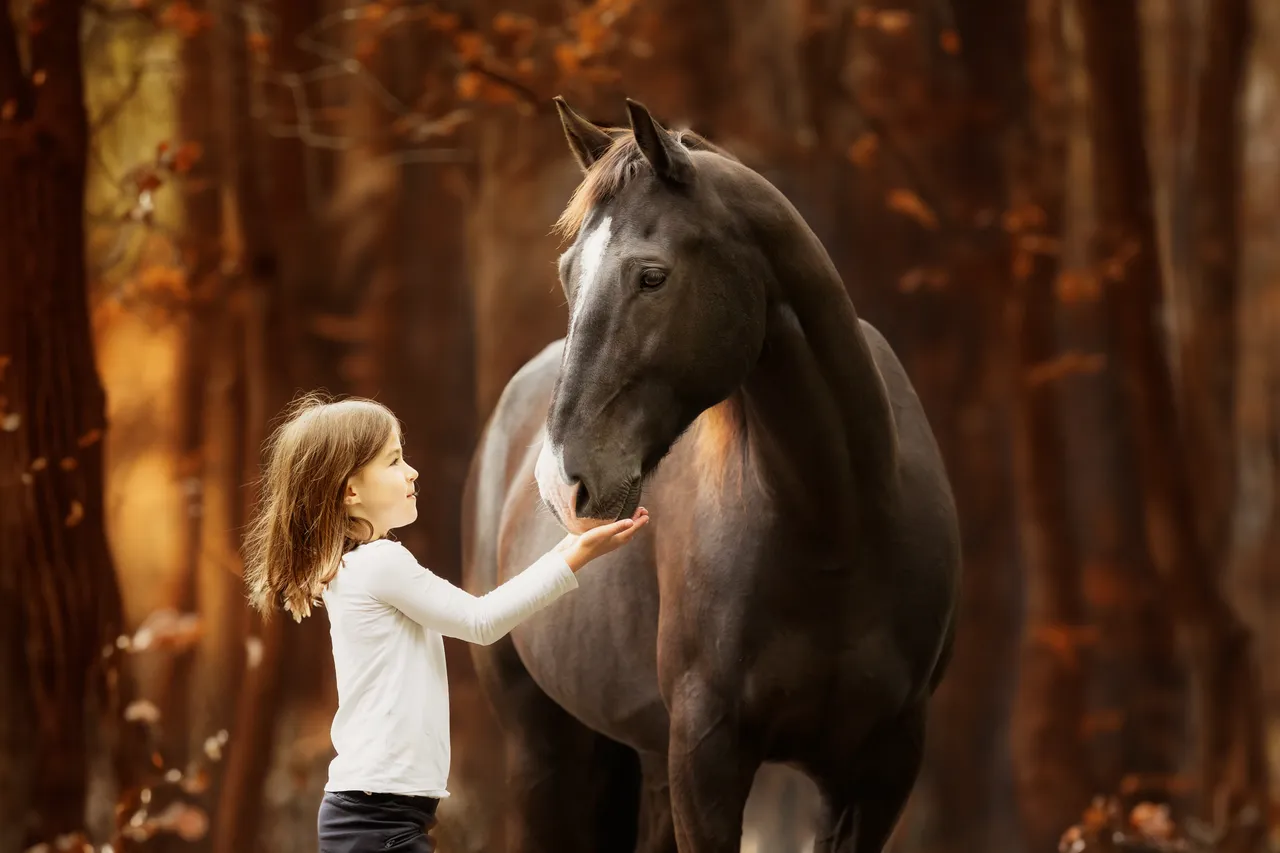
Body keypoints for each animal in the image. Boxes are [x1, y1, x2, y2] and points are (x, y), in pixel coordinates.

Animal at [461, 97, 961, 853]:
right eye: (568, 272)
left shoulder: (879, 769)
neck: (837, 527)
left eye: (652, 276)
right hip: (543, 750)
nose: (559, 483)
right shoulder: (707, 757)